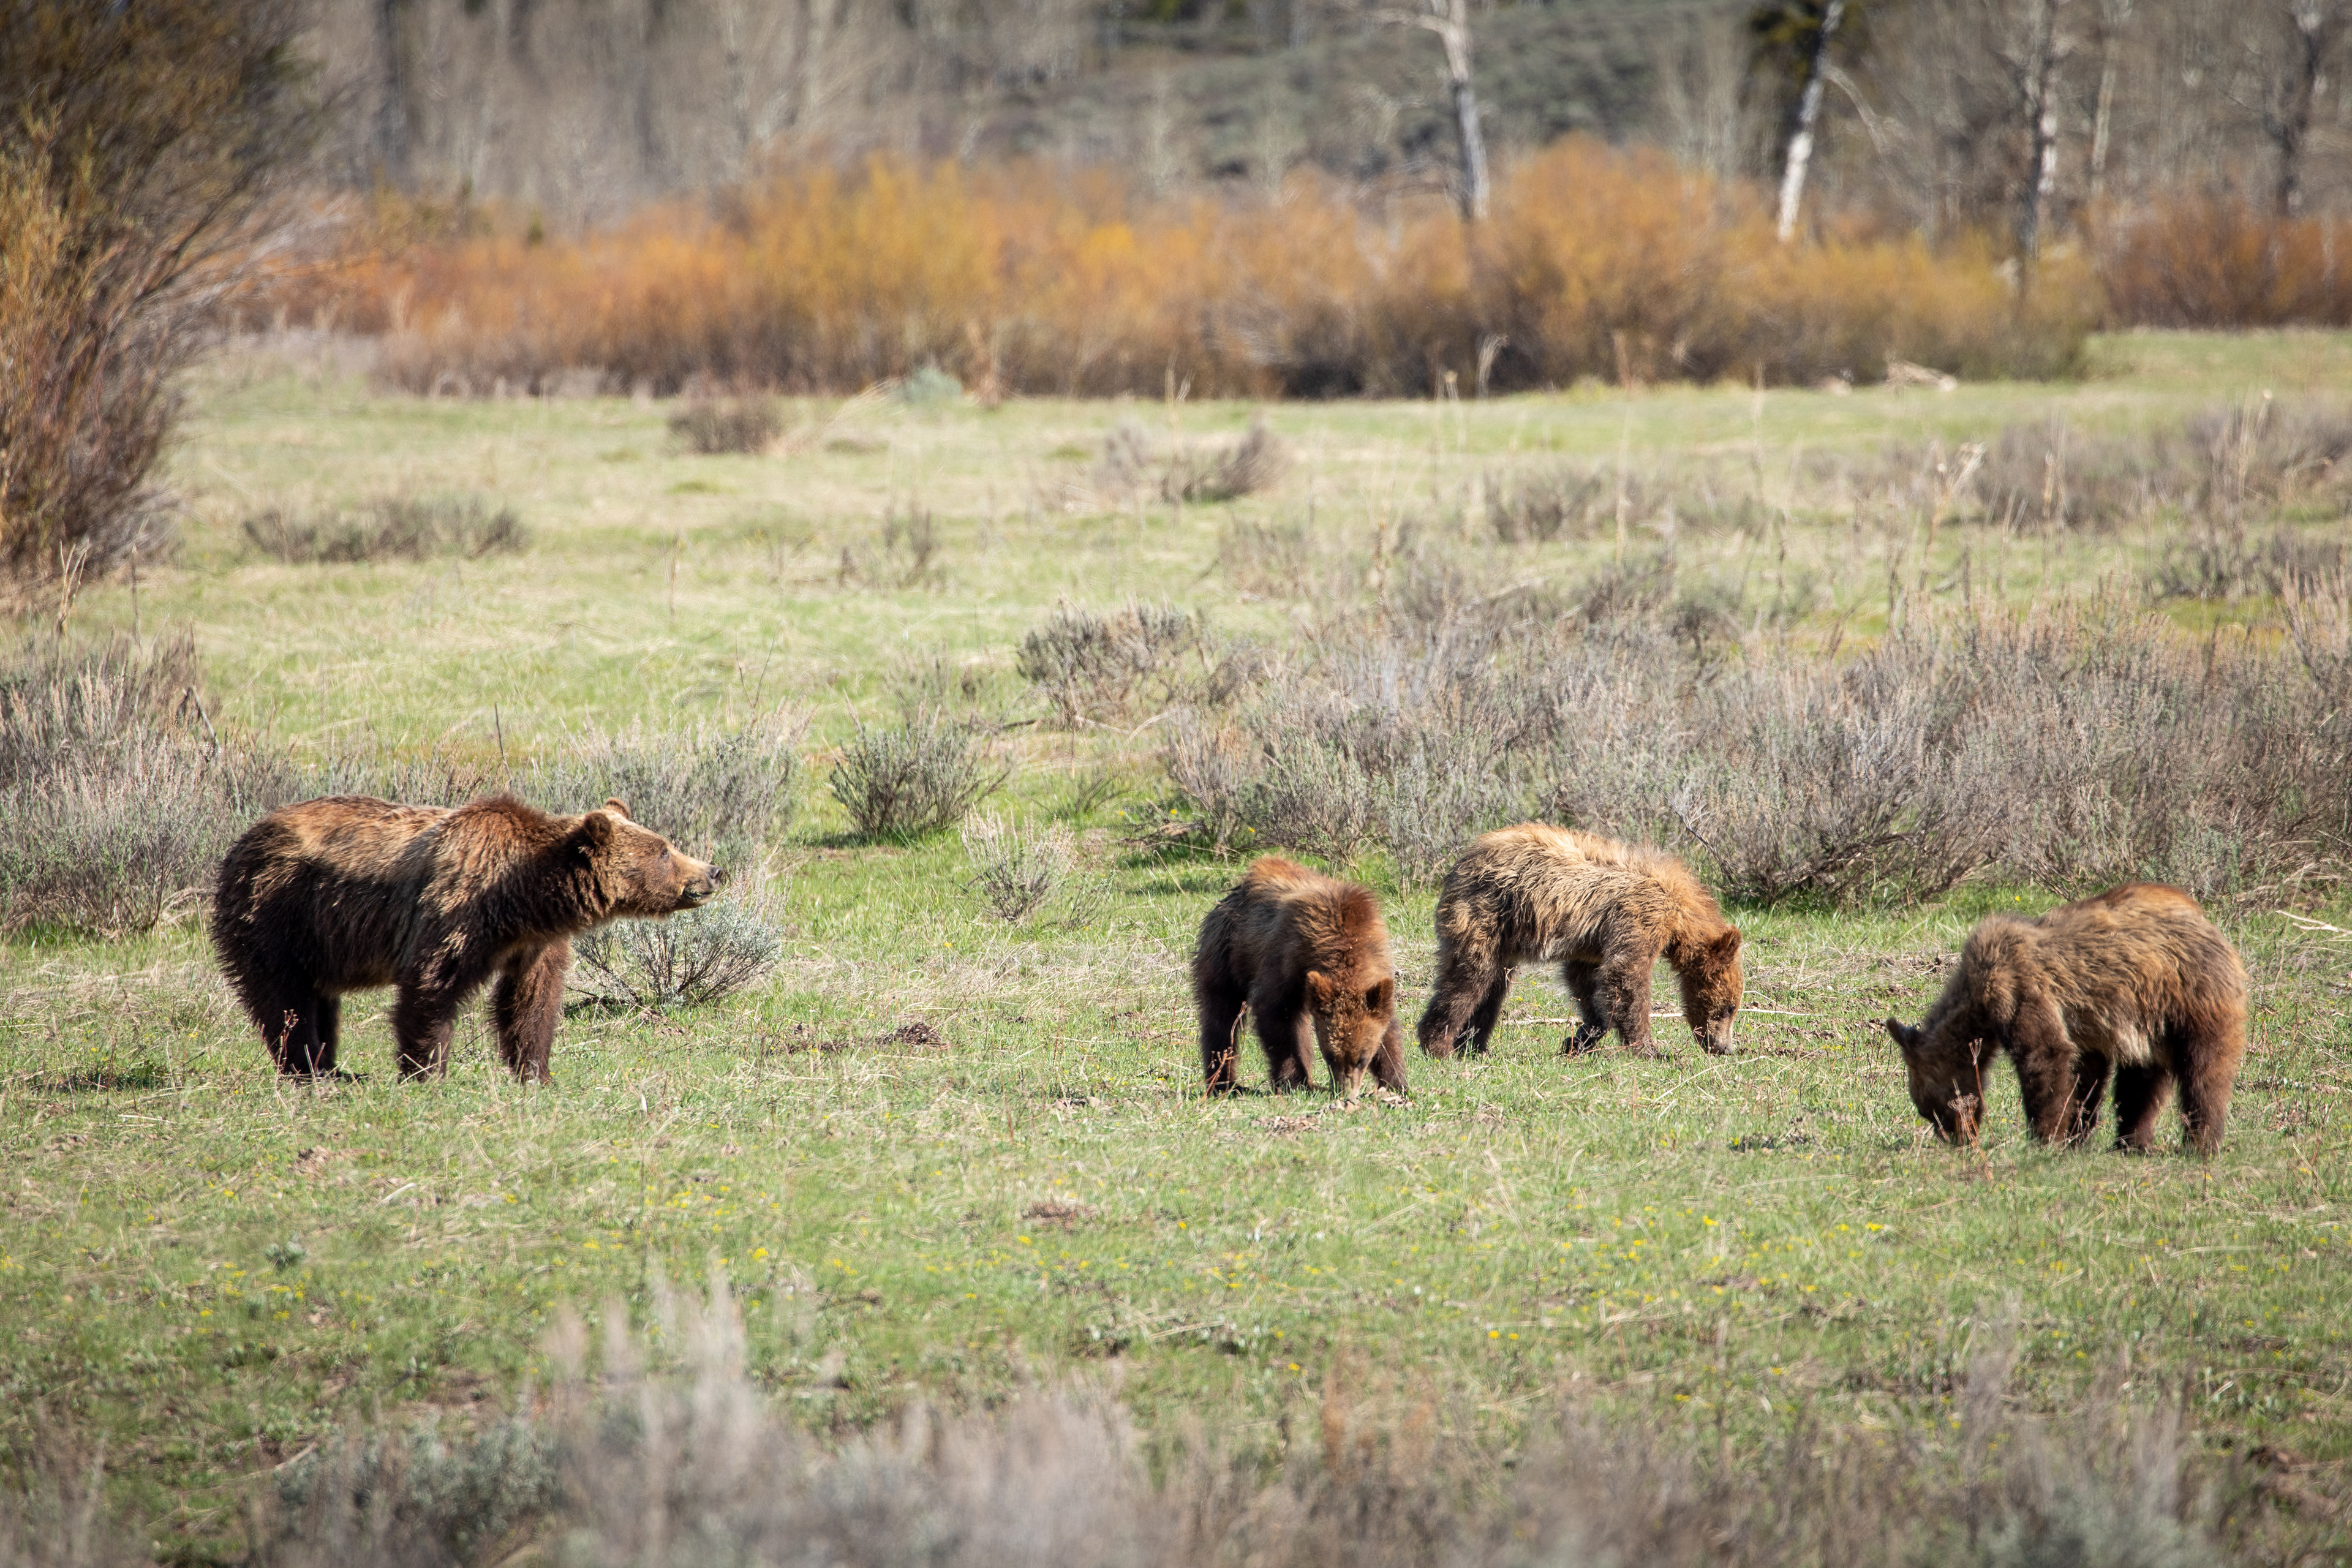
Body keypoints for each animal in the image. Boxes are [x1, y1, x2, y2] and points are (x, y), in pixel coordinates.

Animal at [211, 794, 721, 1083]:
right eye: (664, 851)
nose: (713, 871)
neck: (523, 899)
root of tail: (242, 839)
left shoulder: (535, 945)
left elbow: (531, 1002)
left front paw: (537, 1073)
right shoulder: (455, 914)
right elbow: (431, 989)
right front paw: (427, 1073)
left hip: (317, 936)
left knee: (318, 999)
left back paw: (334, 1068)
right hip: (278, 912)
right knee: (285, 1000)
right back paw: (310, 1070)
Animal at [1192, 857, 1405, 1098]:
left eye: (1362, 1059)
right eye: (1330, 1057)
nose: (1343, 1093)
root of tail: (1232, 893)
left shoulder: (1377, 967)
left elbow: (1386, 1025)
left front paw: (1396, 1082)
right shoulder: (1287, 956)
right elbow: (1275, 1014)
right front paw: (1293, 1081)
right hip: (1227, 951)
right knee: (1222, 1014)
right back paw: (1225, 1083)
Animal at [1417, 824, 1743, 1060]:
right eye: (1730, 1008)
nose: (1724, 1048)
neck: (1680, 915)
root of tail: (1463, 860)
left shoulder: (1593, 943)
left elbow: (1586, 981)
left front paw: (1579, 1039)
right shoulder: (1640, 918)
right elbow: (1626, 978)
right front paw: (1650, 1050)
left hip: (1503, 935)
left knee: (1495, 987)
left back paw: (1475, 1047)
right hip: (1485, 914)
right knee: (1470, 979)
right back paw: (1439, 1046)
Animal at [1883, 883, 2248, 1155]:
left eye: (1931, 1108)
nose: (1957, 1140)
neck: (1979, 1002)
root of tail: (2210, 924)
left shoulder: (2020, 986)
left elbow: (2045, 1055)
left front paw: (2044, 1139)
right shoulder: (2085, 1028)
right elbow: (2084, 1077)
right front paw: (2075, 1136)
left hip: (2191, 993)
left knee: (2205, 1069)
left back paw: (2201, 1143)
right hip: (2148, 1021)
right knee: (2142, 1080)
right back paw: (2131, 1143)